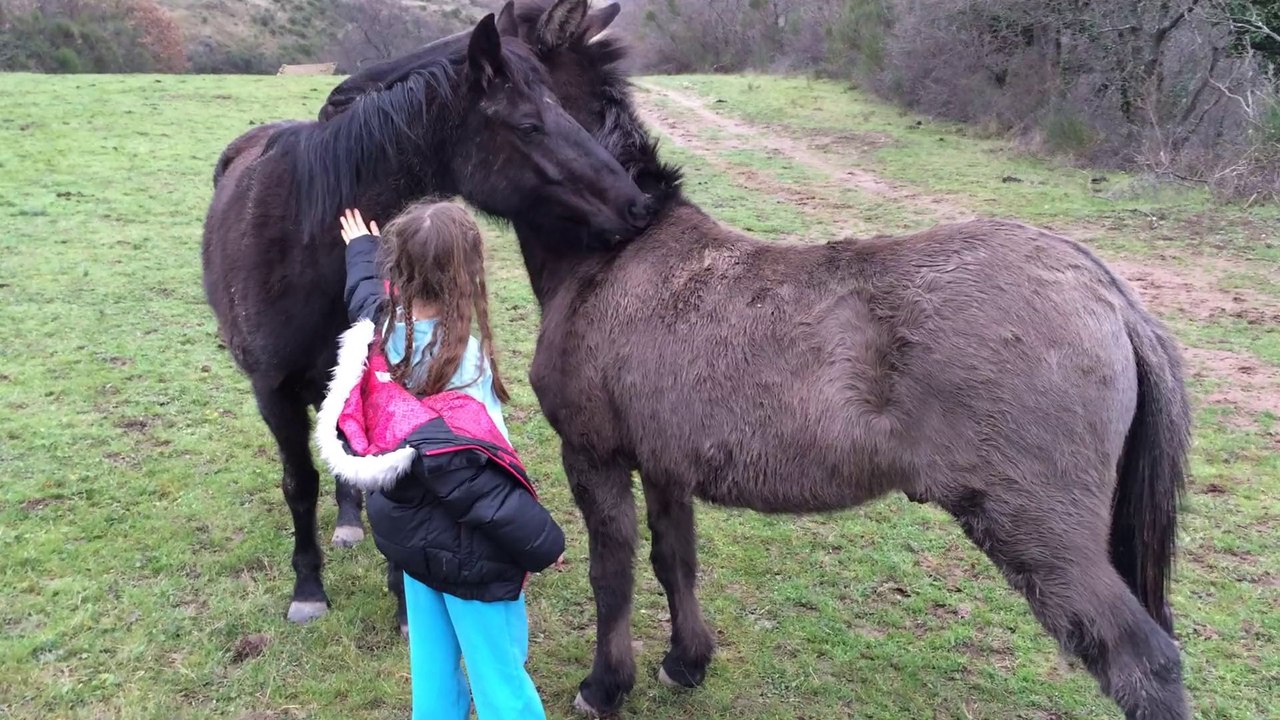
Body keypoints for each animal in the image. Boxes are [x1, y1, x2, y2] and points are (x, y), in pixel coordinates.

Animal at [201, 6, 652, 630]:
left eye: (566, 108)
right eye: (529, 126)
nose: (636, 205)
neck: (304, 239)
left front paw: (403, 596)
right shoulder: (272, 391)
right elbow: (299, 483)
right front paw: (308, 589)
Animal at [497, 8, 1193, 720]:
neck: (619, 252)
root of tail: (1106, 292)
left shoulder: (595, 455)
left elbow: (612, 572)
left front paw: (605, 686)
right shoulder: (665, 464)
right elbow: (675, 560)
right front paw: (685, 663)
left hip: (1042, 533)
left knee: (1144, 661)